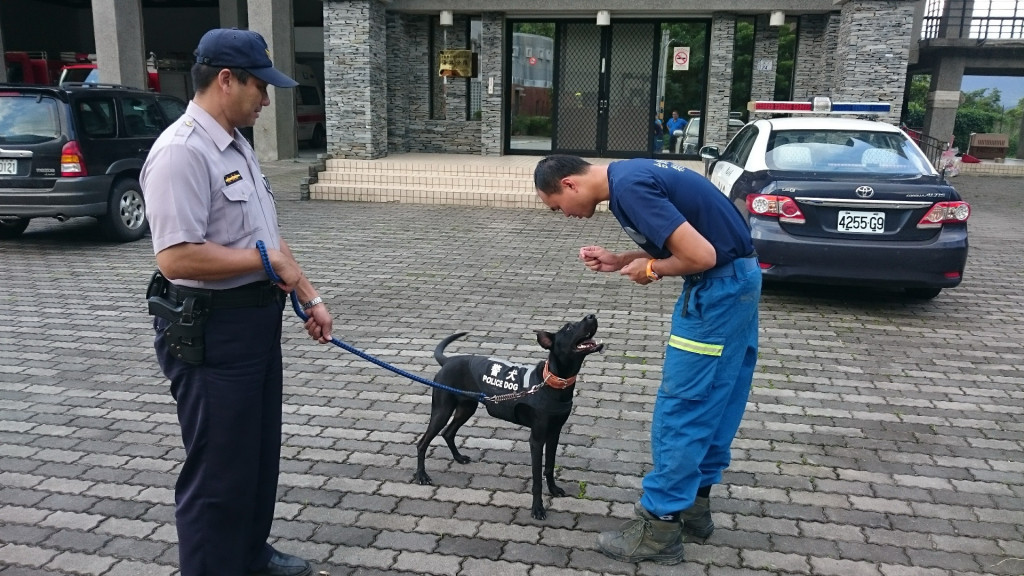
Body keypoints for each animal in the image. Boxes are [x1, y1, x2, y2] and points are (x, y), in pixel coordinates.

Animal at [413, 311, 602, 518]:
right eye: (568, 327)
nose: (591, 316)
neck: (553, 381)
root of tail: (447, 361)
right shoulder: (537, 439)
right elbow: (537, 479)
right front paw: (537, 508)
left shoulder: (554, 433)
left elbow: (550, 467)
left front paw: (553, 489)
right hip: (442, 410)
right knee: (423, 442)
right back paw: (422, 475)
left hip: (466, 408)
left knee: (448, 433)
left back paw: (459, 457)